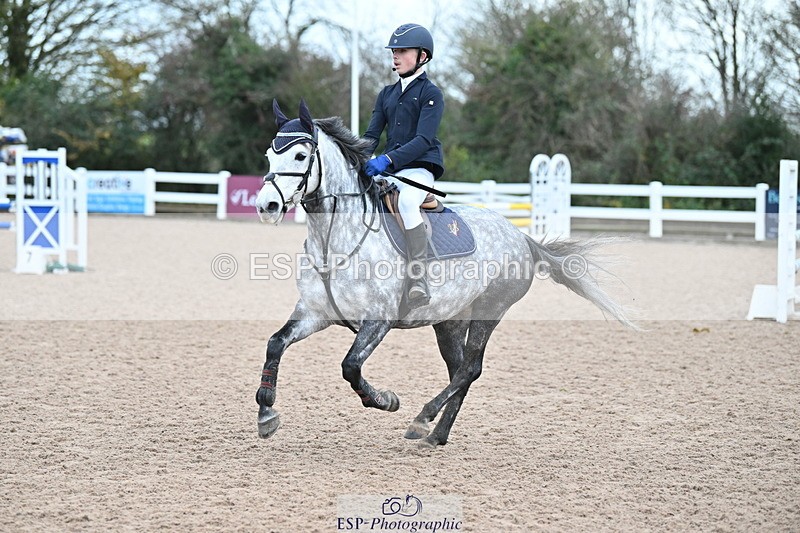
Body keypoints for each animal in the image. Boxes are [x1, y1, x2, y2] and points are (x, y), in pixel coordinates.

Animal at [254, 99, 634, 448]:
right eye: (270, 157)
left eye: (300, 156)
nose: (266, 206)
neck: (335, 237)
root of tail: (520, 236)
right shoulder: (315, 313)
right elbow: (275, 343)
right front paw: (266, 412)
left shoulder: (378, 320)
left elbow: (350, 366)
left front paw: (386, 400)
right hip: (450, 321)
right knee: (460, 371)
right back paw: (436, 435)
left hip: (490, 310)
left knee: (470, 369)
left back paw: (422, 419)